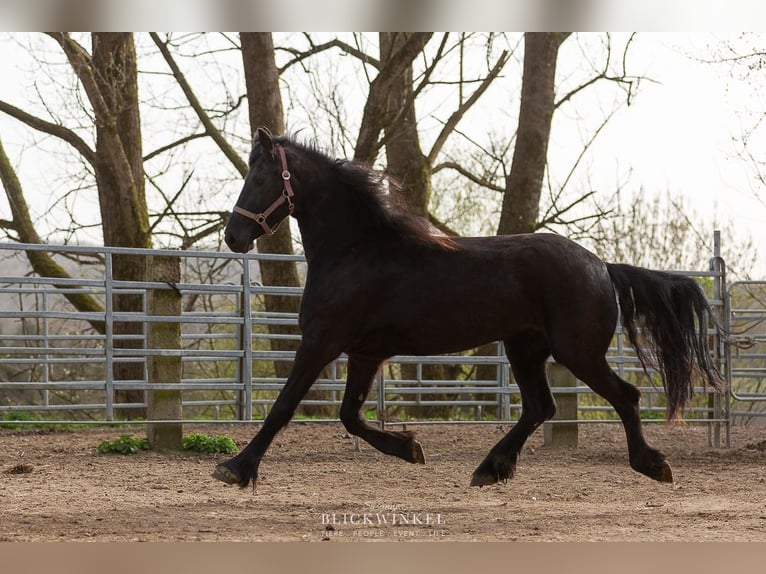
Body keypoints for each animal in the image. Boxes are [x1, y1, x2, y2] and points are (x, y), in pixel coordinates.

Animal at [216, 127, 728, 490]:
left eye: (259, 178)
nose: (234, 236)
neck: (354, 250)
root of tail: (601, 265)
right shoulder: (364, 352)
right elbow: (350, 416)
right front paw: (409, 448)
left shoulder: (321, 342)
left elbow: (284, 407)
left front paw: (236, 468)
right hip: (525, 348)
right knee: (541, 406)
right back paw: (491, 468)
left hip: (577, 351)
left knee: (625, 396)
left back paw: (652, 464)